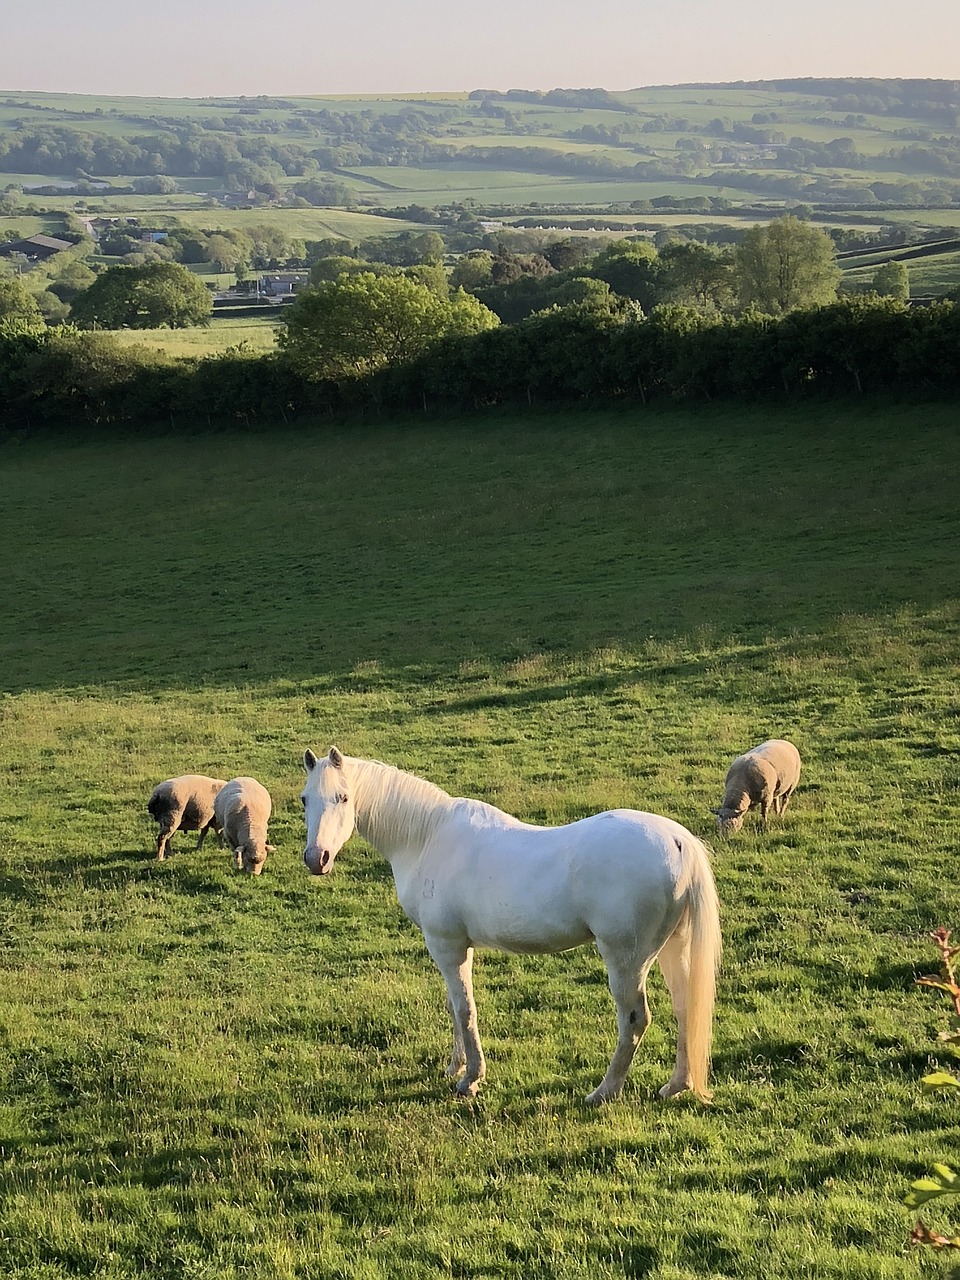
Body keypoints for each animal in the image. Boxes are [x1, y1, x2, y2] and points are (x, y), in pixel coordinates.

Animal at [300, 747, 721, 1105]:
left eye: (343, 797)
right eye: (305, 799)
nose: (316, 858)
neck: (427, 837)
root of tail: (678, 841)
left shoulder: (447, 944)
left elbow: (465, 1009)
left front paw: (470, 1079)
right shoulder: (457, 948)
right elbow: (455, 1006)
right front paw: (456, 1067)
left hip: (626, 959)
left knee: (634, 1020)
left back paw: (603, 1091)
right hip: (670, 948)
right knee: (685, 1007)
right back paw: (676, 1085)